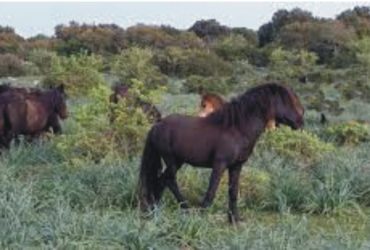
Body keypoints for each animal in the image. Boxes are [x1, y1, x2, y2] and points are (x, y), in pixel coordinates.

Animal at [138, 83, 304, 224]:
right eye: (285, 101)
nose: (300, 122)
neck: (237, 128)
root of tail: (157, 126)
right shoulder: (219, 165)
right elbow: (211, 191)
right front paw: (202, 216)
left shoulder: (236, 166)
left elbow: (233, 192)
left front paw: (234, 220)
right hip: (172, 161)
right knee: (169, 180)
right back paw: (183, 208)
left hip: (178, 161)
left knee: (162, 180)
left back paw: (156, 209)